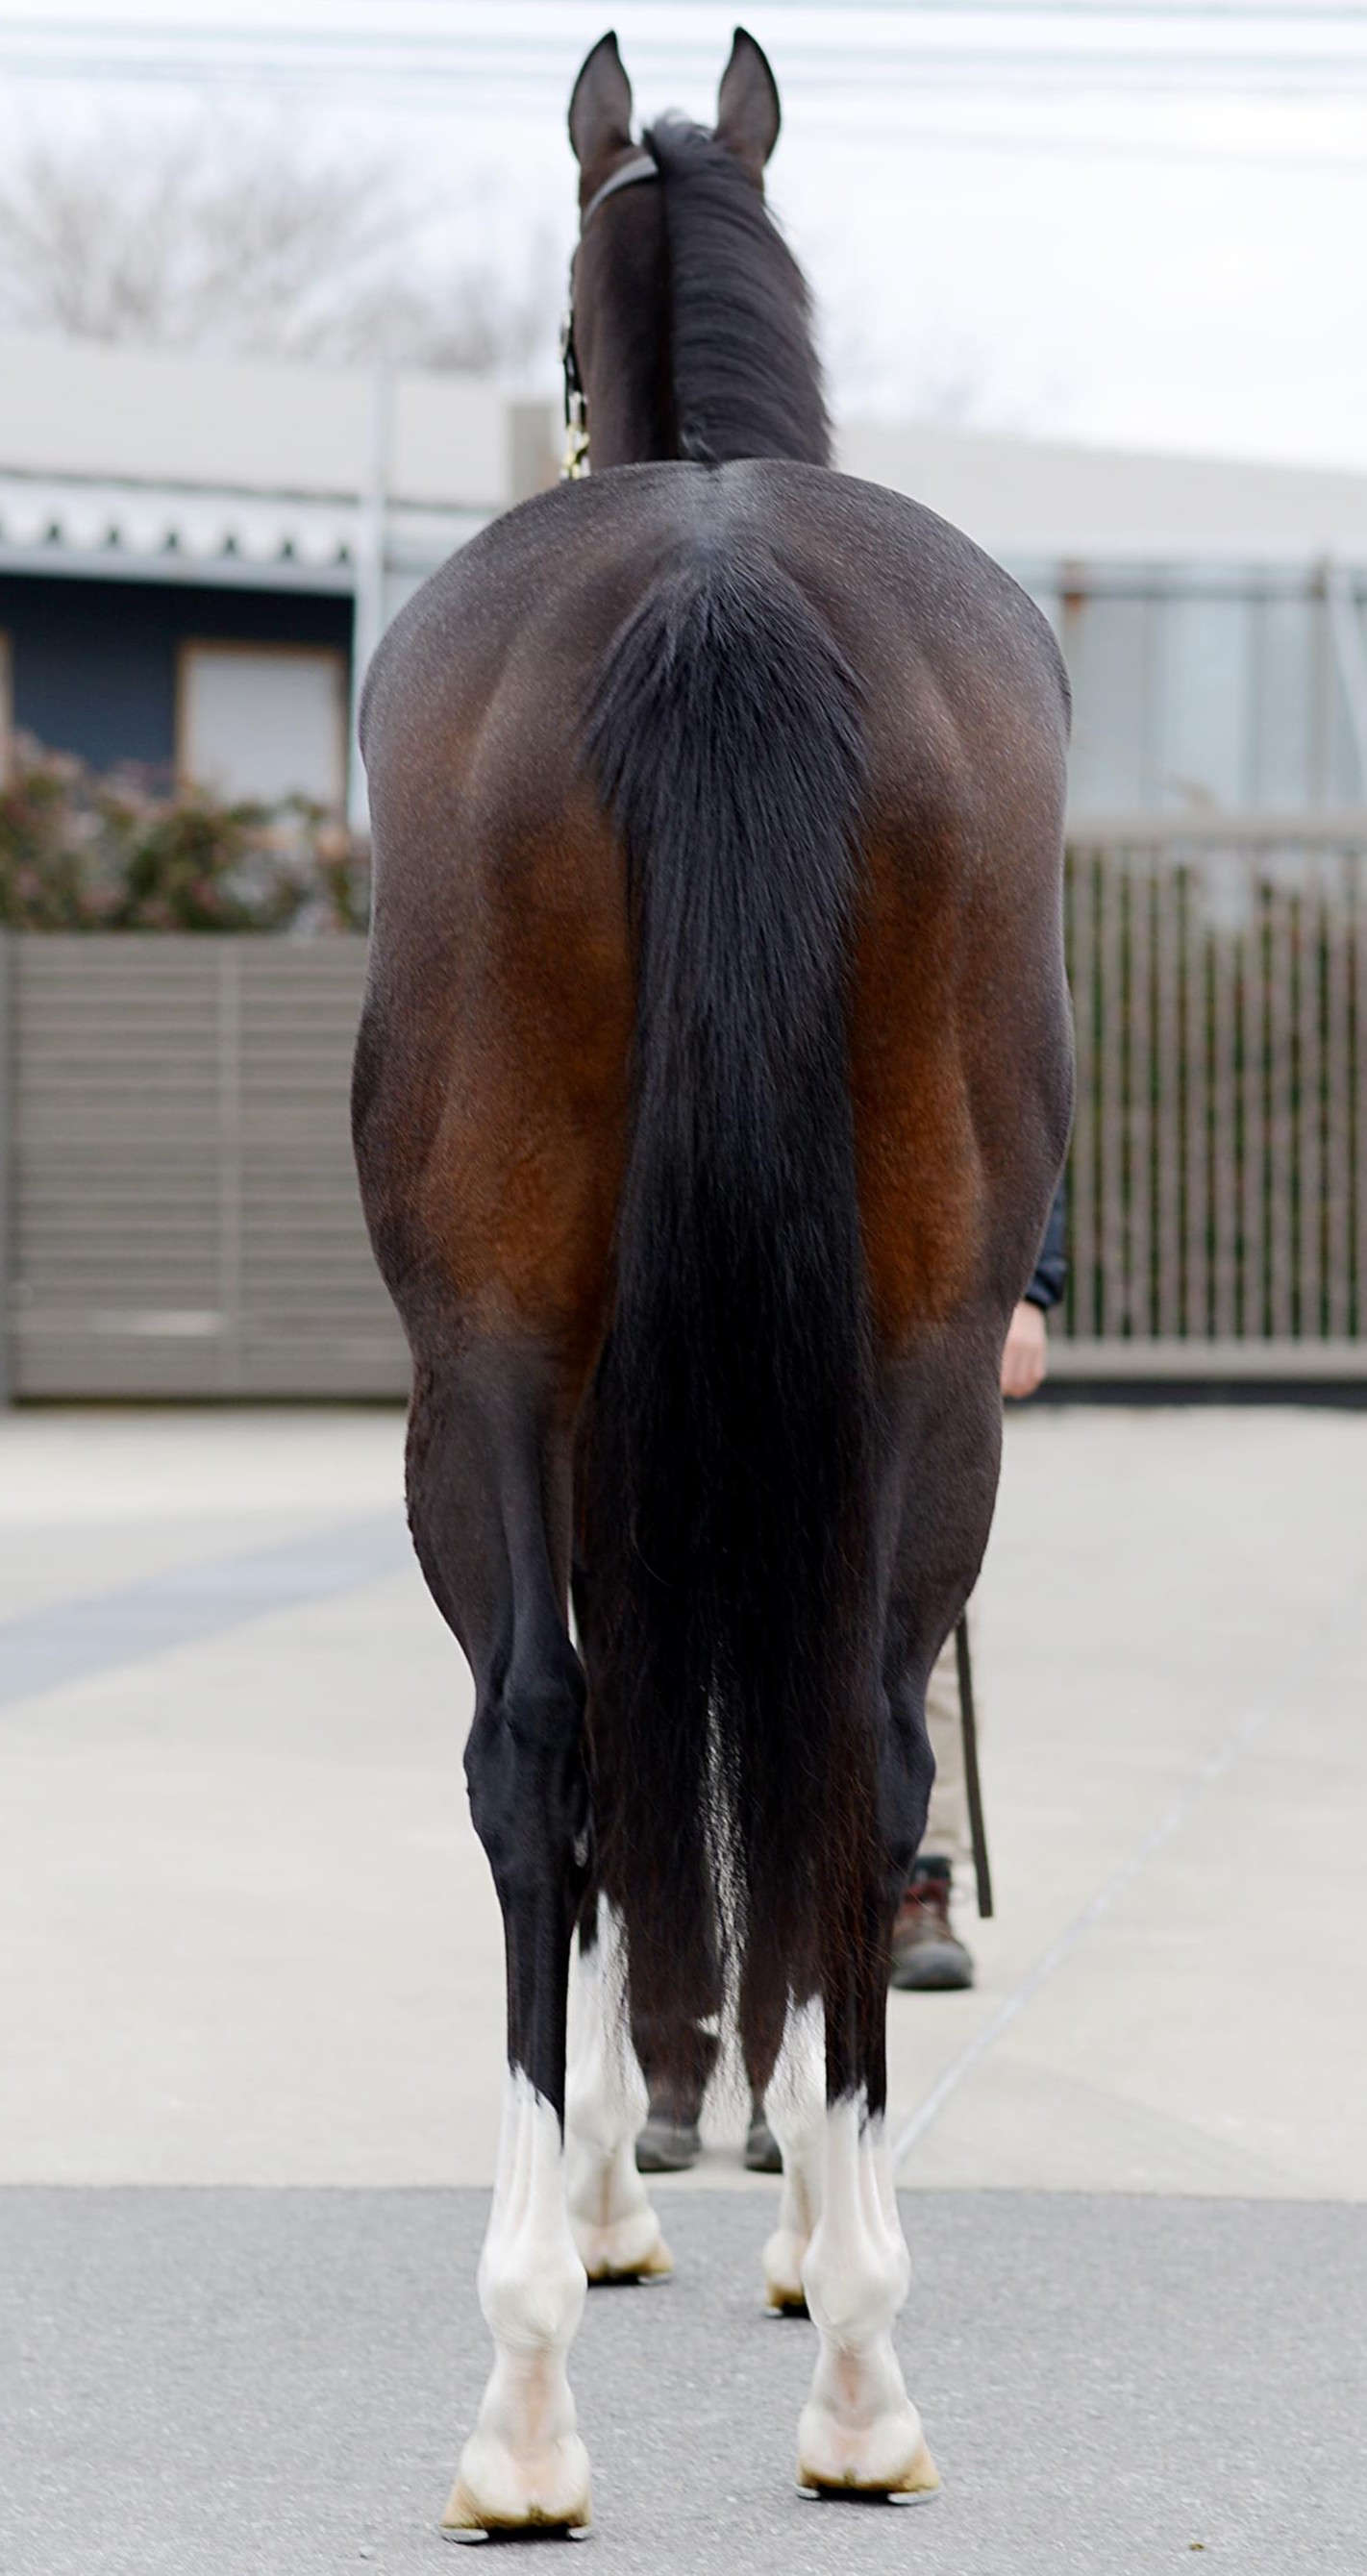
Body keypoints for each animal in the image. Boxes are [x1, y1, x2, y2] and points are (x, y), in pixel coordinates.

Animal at [352, 26, 1072, 2539]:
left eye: (567, 353)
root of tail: (718, 585)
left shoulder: (563, 1401)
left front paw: (618, 2178)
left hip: (486, 1369)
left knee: (546, 1740)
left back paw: (542, 2394)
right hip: (921, 1367)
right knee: (850, 1728)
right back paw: (851, 2350)